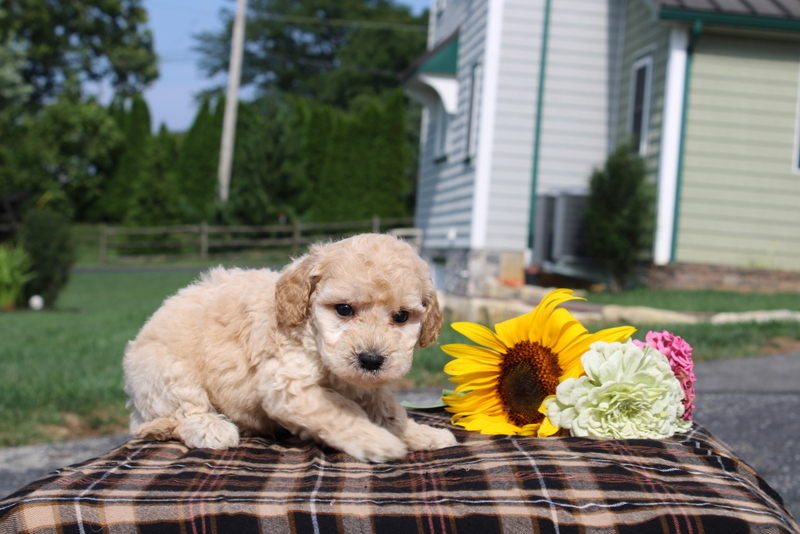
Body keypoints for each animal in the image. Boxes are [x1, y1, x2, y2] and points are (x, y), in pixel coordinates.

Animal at [126, 234, 462, 464]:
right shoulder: (287, 385)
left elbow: (390, 409)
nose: (371, 359)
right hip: (163, 369)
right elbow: (342, 411)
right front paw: (380, 442)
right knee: (185, 411)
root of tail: (137, 410)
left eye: (402, 316)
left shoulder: (367, 386)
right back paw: (211, 428)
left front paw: (420, 434)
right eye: (344, 309)